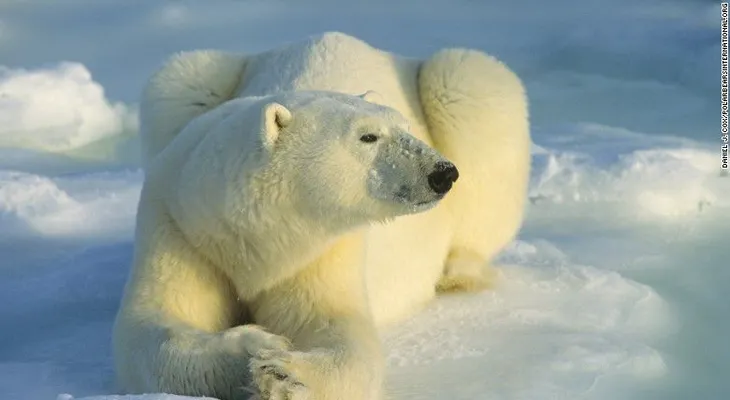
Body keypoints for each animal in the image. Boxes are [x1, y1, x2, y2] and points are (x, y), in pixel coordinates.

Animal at [113, 31, 530, 400]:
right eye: (368, 136)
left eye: (405, 126)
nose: (442, 172)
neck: (250, 234)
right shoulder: (180, 227)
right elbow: (151, 324)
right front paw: (255, 345)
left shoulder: (324, 246)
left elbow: (337, 326)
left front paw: (284, 375)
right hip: (192, 83)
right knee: (179, 81)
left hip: (455, 92)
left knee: (470, 87)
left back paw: (458, 271)